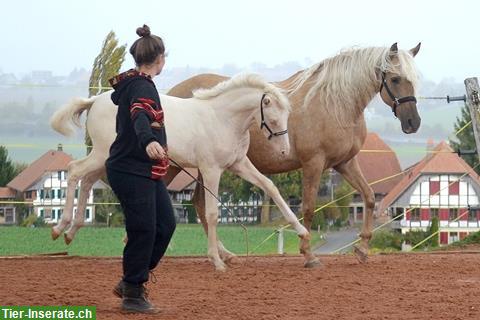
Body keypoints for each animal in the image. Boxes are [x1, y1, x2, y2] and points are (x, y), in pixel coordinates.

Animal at [50, 73, 310, 270]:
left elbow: (270, 187)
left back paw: (71, 232)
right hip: (102, 154)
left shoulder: (238, 164)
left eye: (287, 117)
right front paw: (216, 261)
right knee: (74, 171)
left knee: (87, 180)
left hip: (104, 158)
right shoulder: (211, 169)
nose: (285, 151)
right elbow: (212, 214)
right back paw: (60, 227)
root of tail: (94, 101)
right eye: (274, 121)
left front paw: (302, 232)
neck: (223, 119)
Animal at [167, 42, 422, 264]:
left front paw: (362, 248)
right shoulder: (313, 163)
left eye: (414, 80)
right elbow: (308, 208)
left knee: (199, 203)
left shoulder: (345, 163)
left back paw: (225, 254)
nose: (413, 122)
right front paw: (308, 253)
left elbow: (368, 197)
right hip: (177, 164)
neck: (334, 104)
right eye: (395, 79)